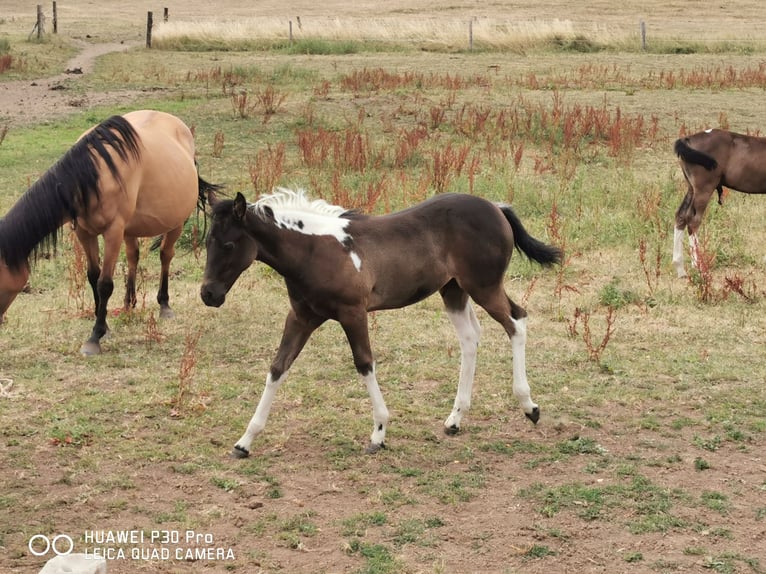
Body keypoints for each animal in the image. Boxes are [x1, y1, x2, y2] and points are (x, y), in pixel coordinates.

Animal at [0, 109, 222, 356]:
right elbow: (93, 276)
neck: (95, 176)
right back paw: (129, 303)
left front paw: (95, 337)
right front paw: (104, 325)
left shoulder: (113, 232)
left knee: (165, 255)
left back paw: (164, 304)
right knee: (134, 256)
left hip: (175, 222)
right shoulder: (84, 232)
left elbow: (105, 283)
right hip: (131, 228)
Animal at [201, 189, 564, 460]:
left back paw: (529, 406)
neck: (314, 251)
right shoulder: (302, 317)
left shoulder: (353, 313)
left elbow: (364, 363)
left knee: (516, 321)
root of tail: (496, 207)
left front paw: (378, 434)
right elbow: (278, 367)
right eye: (207, 243)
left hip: (484, 286)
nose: (209, 294)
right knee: (470, 338)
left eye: (229, 244)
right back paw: (455, 419)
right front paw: (245, 441)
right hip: (454, 290)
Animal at [672, 130, 766, 276]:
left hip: (691, 188)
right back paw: (698, 267)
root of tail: (687, 140)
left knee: (680, 216)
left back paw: (680, 268)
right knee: (693, 220)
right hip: (704, 189)